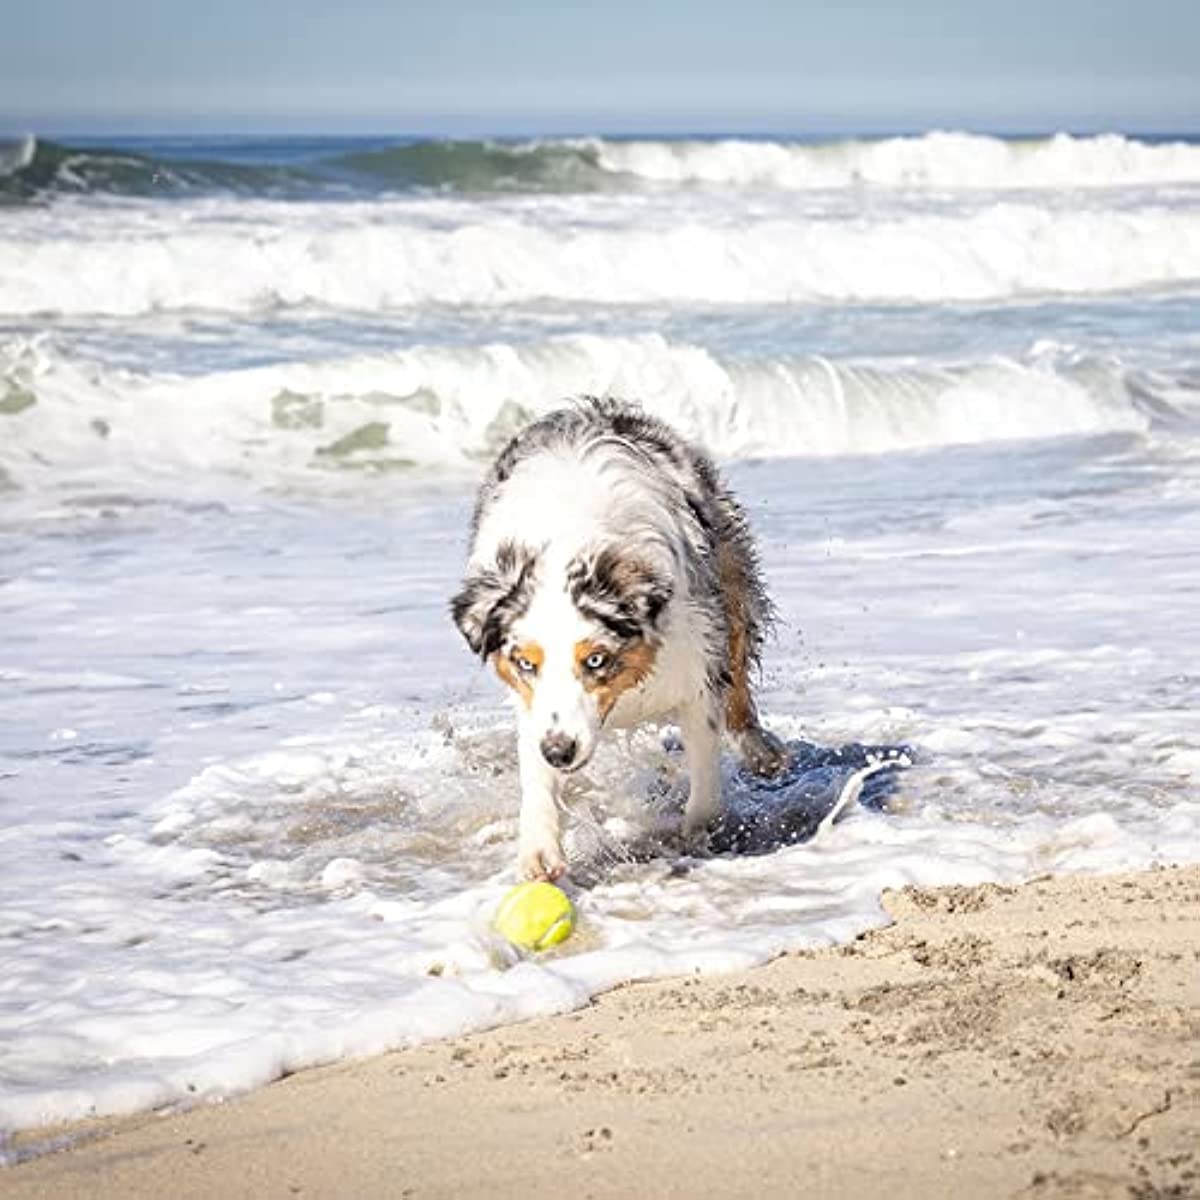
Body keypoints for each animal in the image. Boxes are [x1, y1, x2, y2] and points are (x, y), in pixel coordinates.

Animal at [451, 398, 787, 878]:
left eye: (595, 659)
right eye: (526, 663)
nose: (559, 752)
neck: (570, 541)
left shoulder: (697, 664)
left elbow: (705, 771)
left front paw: (700, 833)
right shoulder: (534, 705)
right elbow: (535, 775)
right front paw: (539, 849)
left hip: (730, 574)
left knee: (739, 675)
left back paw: (760, 750)